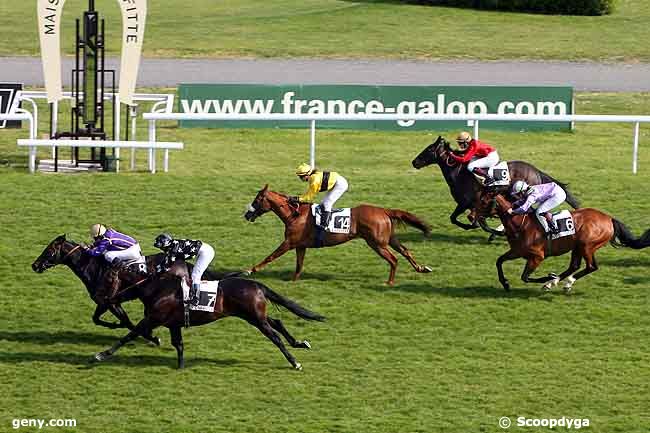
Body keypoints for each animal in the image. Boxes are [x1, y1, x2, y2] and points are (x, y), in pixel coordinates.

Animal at [92, 262, 324, 370]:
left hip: (255, 318)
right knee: (277, 322)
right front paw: (180, 367)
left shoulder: (153, 319)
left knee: (275, 336)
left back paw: (294, 362)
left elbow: (129, 335)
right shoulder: (172, 323)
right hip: (254, 316)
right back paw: (300, 343)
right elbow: (179, 345)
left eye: (108, 279)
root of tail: (257, 285)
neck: (156, 288)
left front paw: (102, 354)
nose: (99, 296)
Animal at [243, 184, 430, 286]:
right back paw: (421, 268)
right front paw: (293, 280)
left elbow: (270, 257)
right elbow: (299, 265)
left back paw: (390, 282)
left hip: (377, 244)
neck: (294, 215)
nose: (247, 214)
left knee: (394, 259)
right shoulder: (300, 246)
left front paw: (250, 270)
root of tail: (384, 211)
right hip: (389, 239)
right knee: (405, 251)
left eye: (257, 200)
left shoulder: (289, 243)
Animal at [410, 137, 576, 235]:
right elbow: (464, 219)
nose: (414, 162)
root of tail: (535, 170)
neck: (458, 173)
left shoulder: (467, 203)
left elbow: (459, 219)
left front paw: (474, 226)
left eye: (429, 149)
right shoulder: (472, 205)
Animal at [470, 193, 648, 292]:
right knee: (575, 266)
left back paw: (560, 282)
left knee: (591, 267)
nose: (471, 216)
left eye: (484, 202)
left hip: (587, 245)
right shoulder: (517, 252)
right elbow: (499, 261)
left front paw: (548, 277)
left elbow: (525, 277)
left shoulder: (537, 256)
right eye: (478, 199)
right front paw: (505, 283)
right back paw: (557, 282)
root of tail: (609, 218)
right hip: (577, 247)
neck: (520, 224)